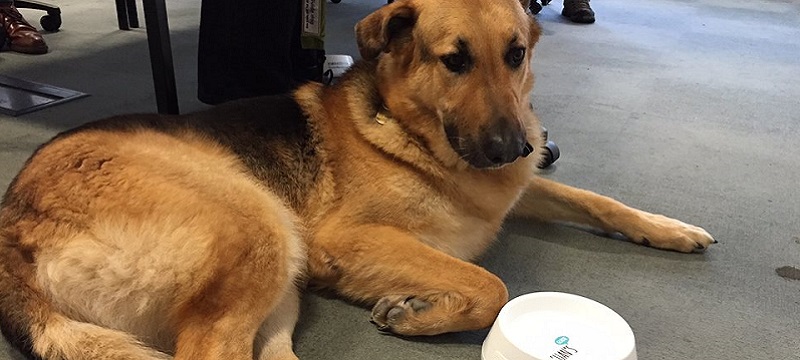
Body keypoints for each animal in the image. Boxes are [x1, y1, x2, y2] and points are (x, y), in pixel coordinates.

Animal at [0, 0, 712, 358]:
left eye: (516, 54)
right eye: (454, 61)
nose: (517, 147)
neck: (408, 131)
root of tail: (14, 228)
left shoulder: (518, 188)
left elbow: (595, 199)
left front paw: (667, 228)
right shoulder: (345, 240)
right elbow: (491, 283)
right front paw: (419, 315)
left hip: (282, 286)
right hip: (267, 228)